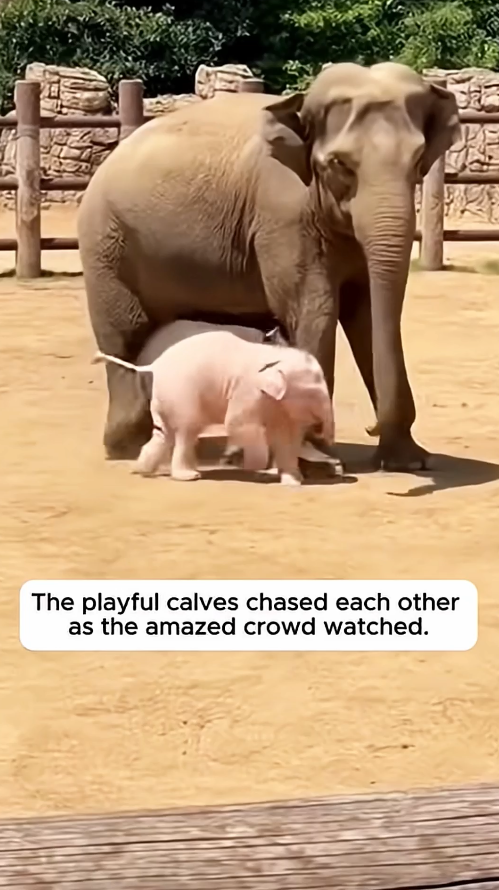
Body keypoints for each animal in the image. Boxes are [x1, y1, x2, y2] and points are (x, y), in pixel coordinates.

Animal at [77, 61, 460, 471]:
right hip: (107, 242)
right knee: (126, 335)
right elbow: (314, 311)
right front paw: (314, 461)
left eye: (419, 161)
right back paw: (127, 447)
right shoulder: (283, 215)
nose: (371, 428)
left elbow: (366, 313)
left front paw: (409, 462)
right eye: (340, 165)